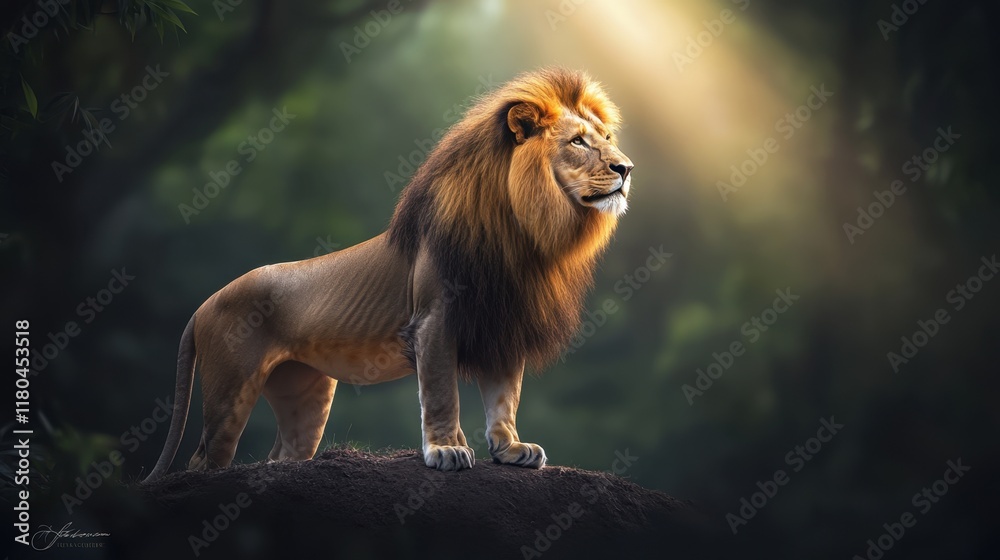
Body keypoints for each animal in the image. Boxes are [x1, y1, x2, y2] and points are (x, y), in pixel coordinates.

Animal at [143, 68, 633, 482]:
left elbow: (504, 398)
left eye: (607, 137)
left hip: (304, 393)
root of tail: (205, 302)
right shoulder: (434, 320)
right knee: (202, 461)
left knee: (283, 456)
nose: (626, 168)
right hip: (230, 391)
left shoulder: (504, 325)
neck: (523, 230)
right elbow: (441, 392)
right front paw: (446, 450)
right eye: (578, 142)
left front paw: (510, 448)